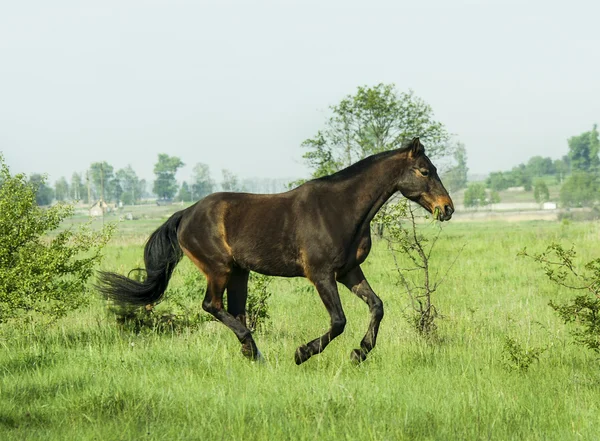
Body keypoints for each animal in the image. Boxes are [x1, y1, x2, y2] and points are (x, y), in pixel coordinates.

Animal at [97, 138, 454, 364]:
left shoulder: (349, 272)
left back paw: (251, 352)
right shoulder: (321, 275)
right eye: (425, 171)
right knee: (212, 305)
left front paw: (359, 353)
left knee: (235, 311)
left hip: (239, 272)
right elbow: (338, 321)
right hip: (219, 269)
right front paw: (302, 353)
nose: (447, 208)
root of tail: (186, 213)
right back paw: (255, 352)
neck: (341, 209)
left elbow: (377, 306)